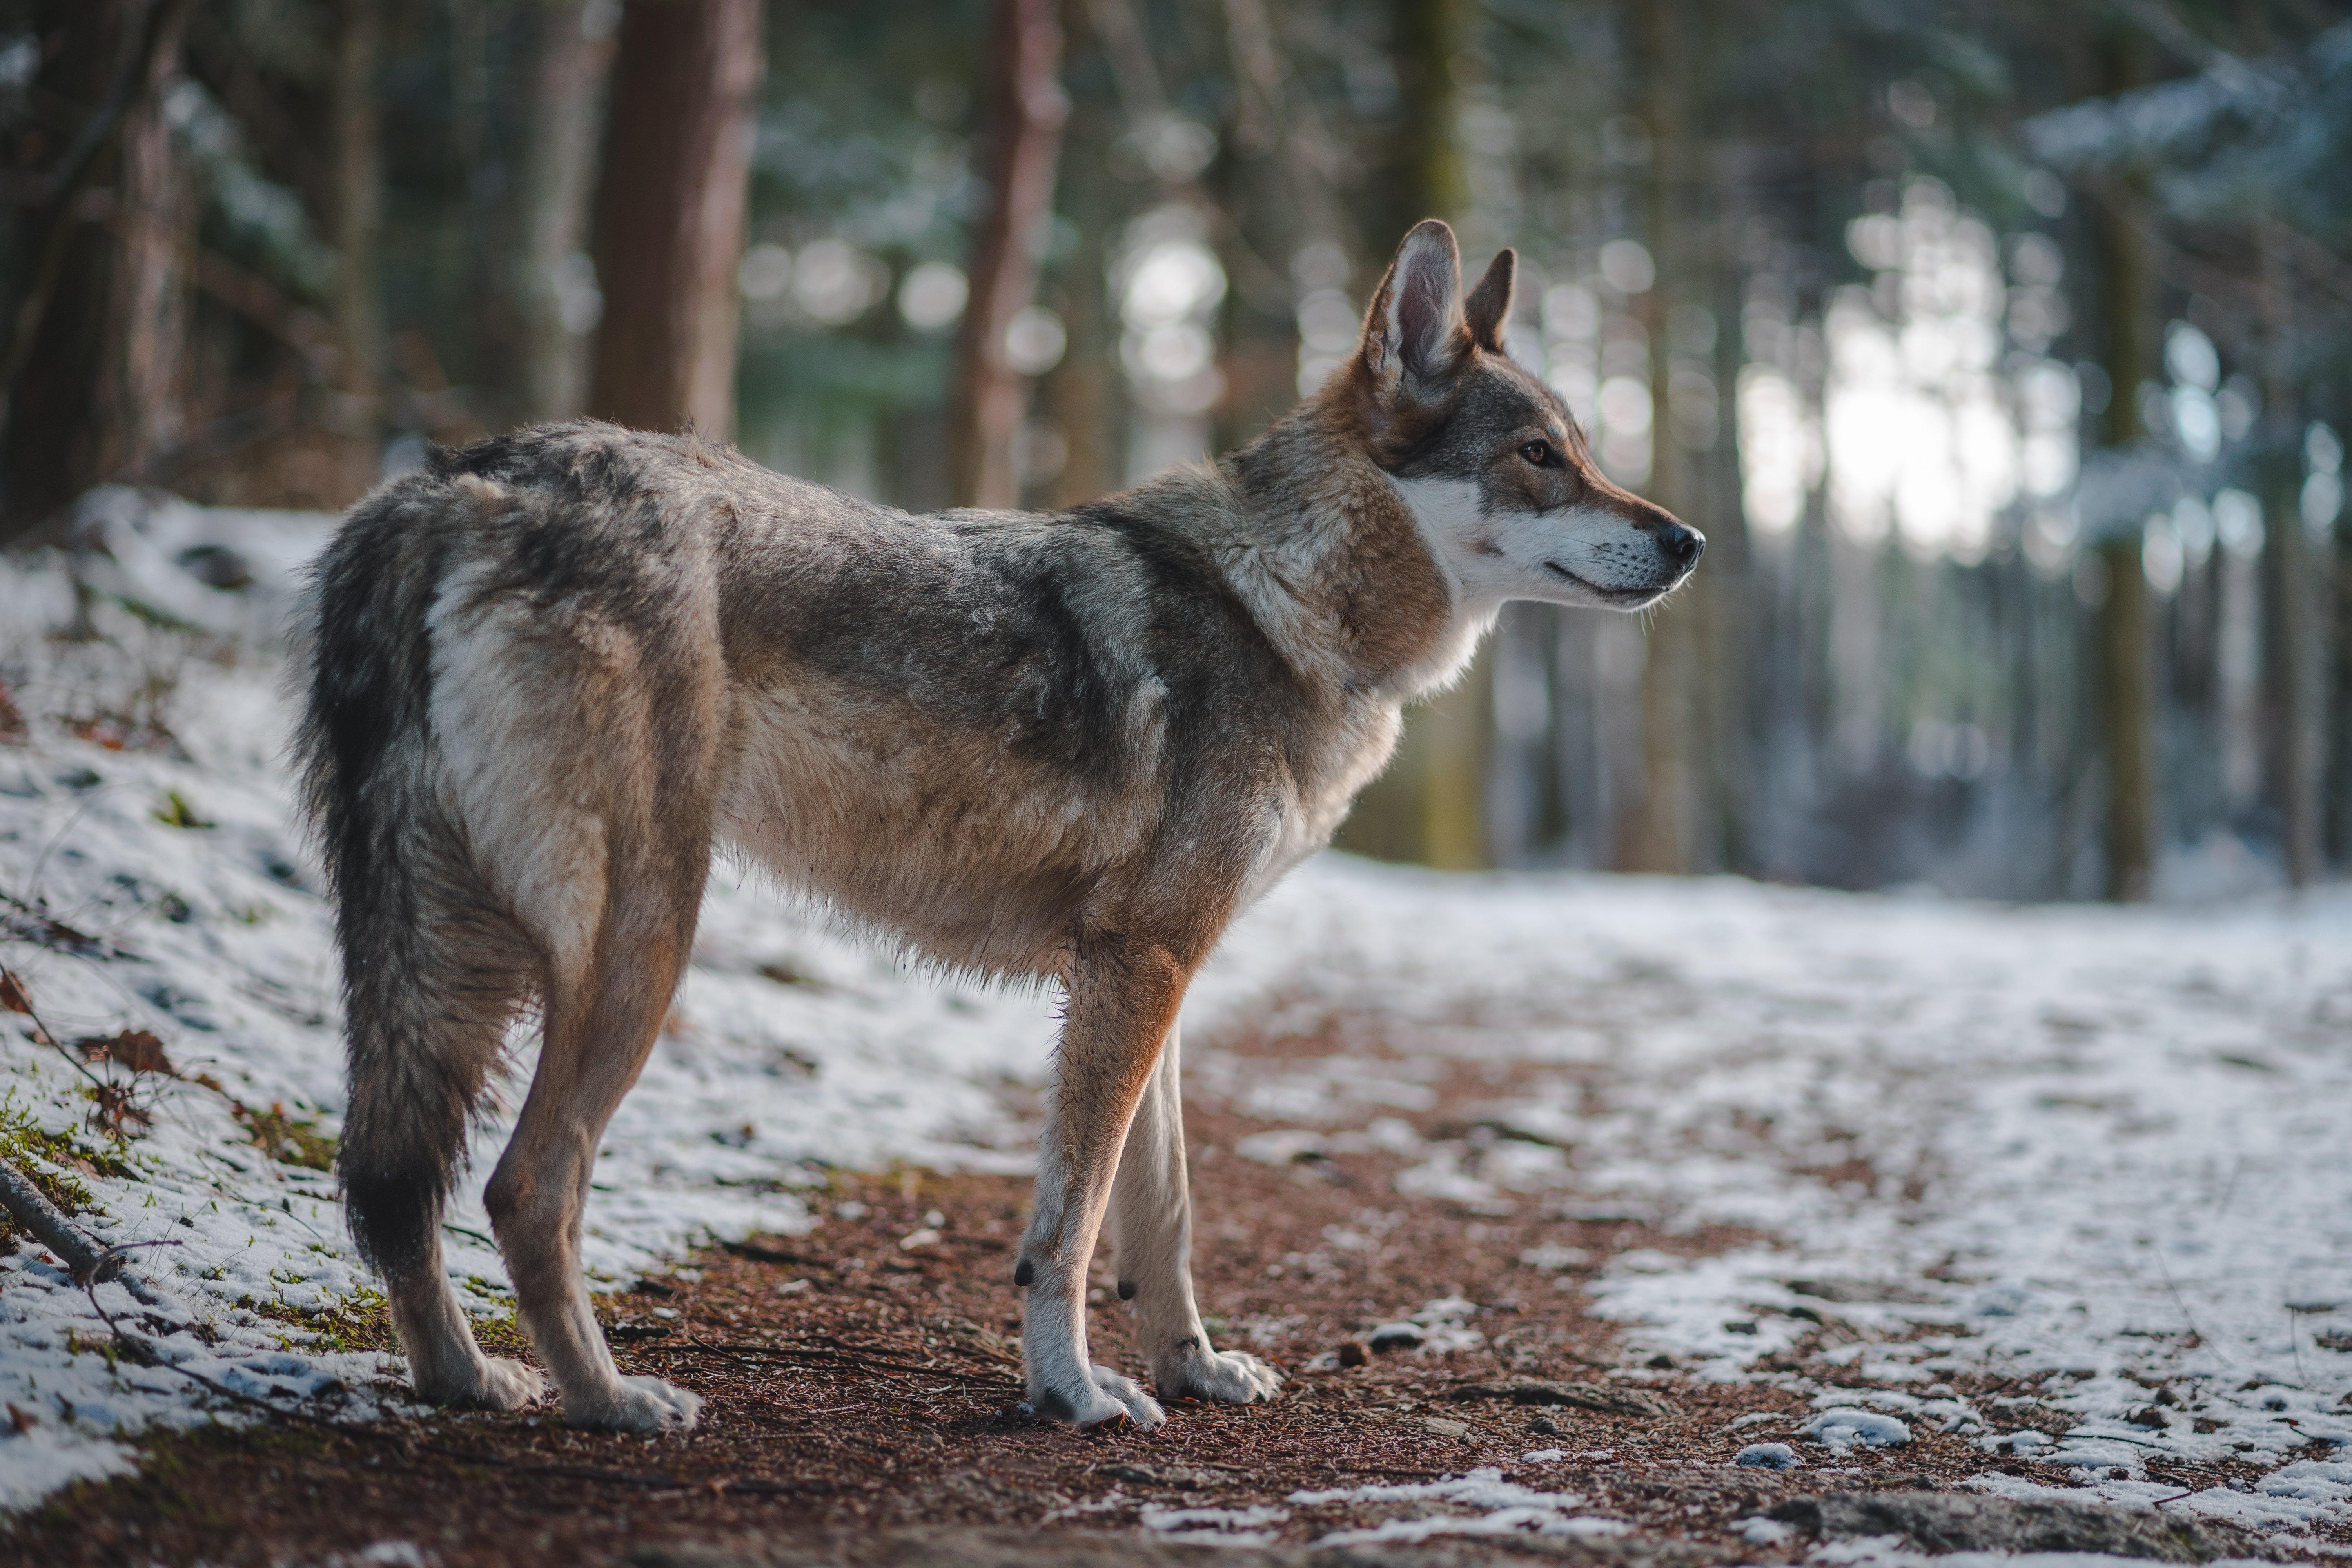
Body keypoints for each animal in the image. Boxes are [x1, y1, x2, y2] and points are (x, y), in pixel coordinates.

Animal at [294, 221, 1703, 1439]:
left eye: (1584, 449)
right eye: (1539, 455)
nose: (1690, 540)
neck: (1286, 602)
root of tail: (459, 479)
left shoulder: (1154, 972)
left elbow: (1163, 1215)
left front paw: (1192, 1369)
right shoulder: (1140, 965)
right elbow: (1069, 1228)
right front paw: (1072, 1394)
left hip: (447, 953)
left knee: (392, 1184)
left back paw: (466, 1381)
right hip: (636, 944)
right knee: (524, 1187)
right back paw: (611, 1400)